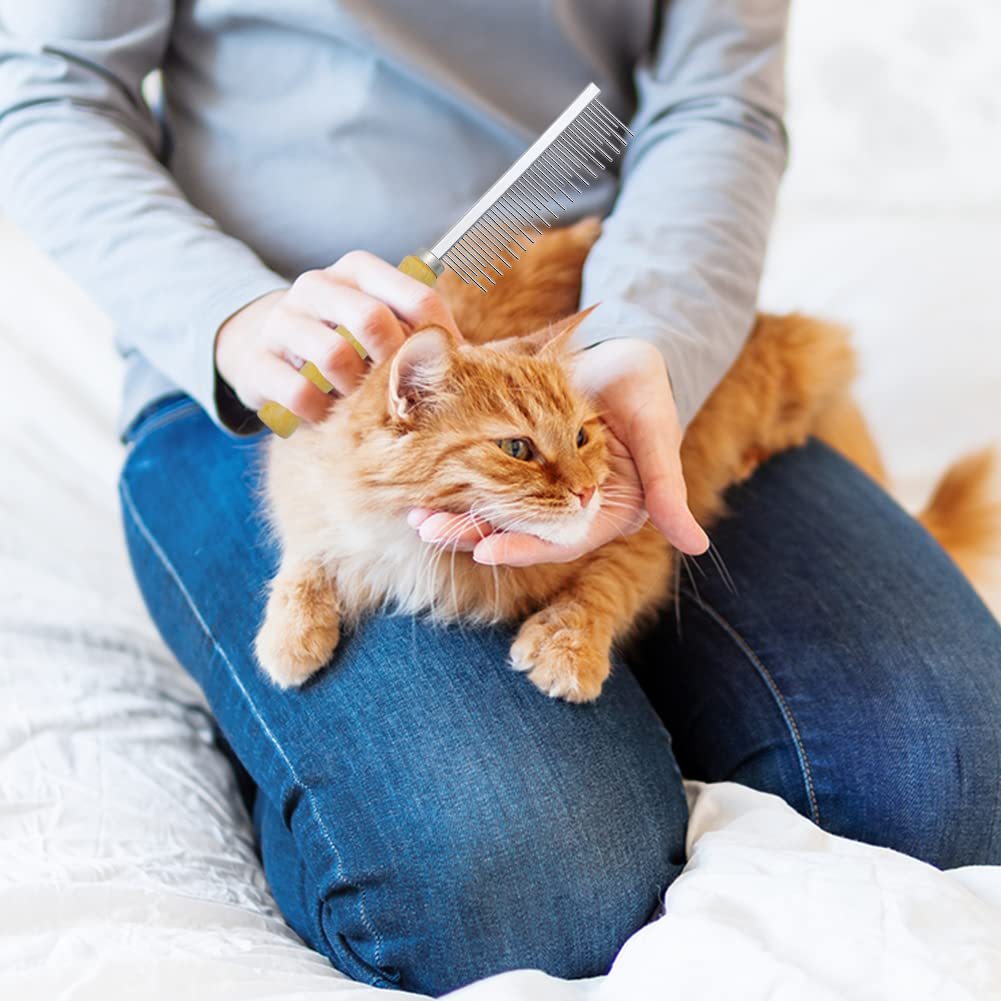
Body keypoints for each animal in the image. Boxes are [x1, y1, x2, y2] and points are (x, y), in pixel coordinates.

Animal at [254, 219, 996, 704]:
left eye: (583, 435)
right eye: (517, 448)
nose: (587, 491)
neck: (399, 538)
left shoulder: (649, 534)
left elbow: (600, 589)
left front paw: (566, 651)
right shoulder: (310, 495)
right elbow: (305, 561)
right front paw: (288, 635)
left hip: (808, 355)